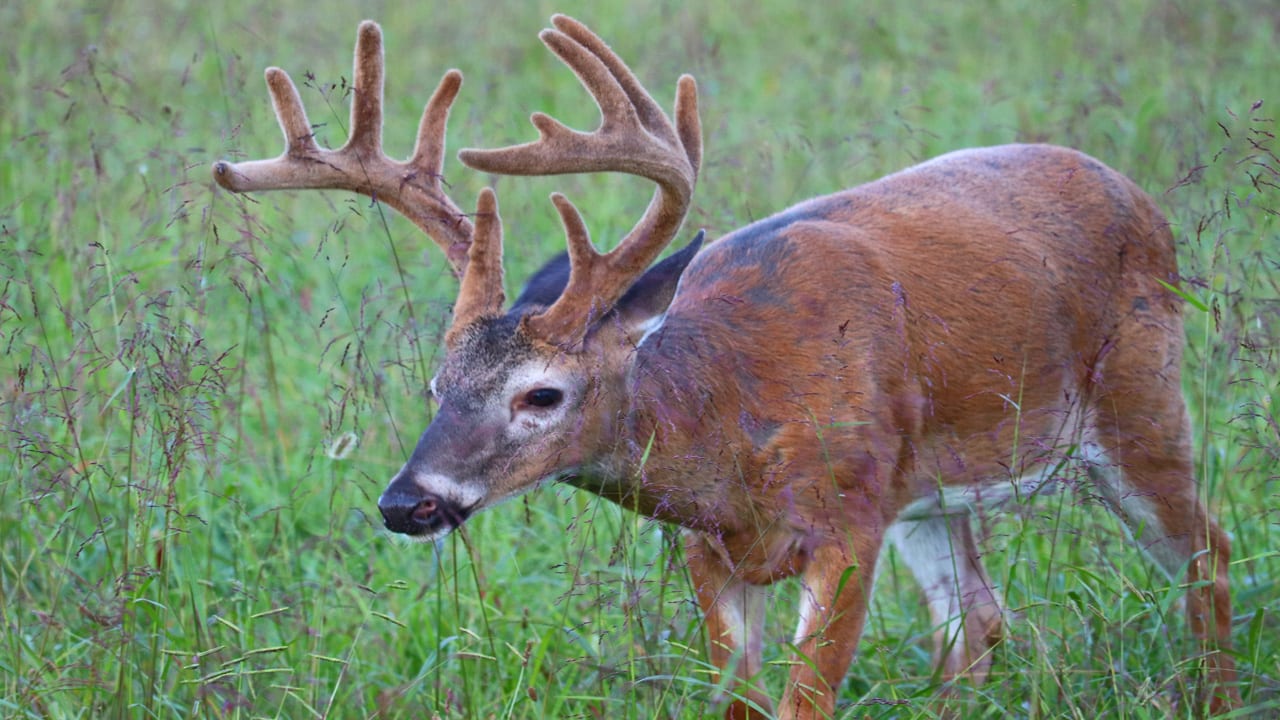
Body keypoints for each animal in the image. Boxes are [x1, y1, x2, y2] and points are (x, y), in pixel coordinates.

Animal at [215, 14, 1244, 712]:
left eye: (542, 394)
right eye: (436, 386)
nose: (406, 503)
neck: (728, 434)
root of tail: (1135, 194)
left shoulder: (845, 528)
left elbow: (803, 702)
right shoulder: (709, 551)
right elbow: (742, 701)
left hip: (1141, 401)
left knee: (1209, 552)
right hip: (926, 487)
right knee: (977, 621)